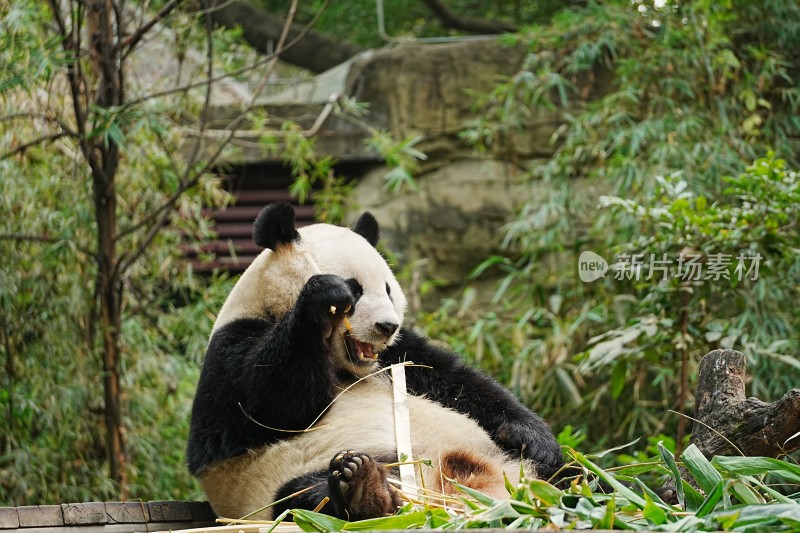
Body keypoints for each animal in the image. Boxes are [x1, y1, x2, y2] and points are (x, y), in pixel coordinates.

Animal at [187, 203, 564, 520]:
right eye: (354, 289)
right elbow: (272, 403)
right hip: (286, 478)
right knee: (305, 494)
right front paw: (322, 297)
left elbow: (458, 382)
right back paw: (363, 489)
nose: (387, 326)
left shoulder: (399, 355)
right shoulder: (230, 350)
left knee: (569, 473)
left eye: (387, 289)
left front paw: (532, 436)